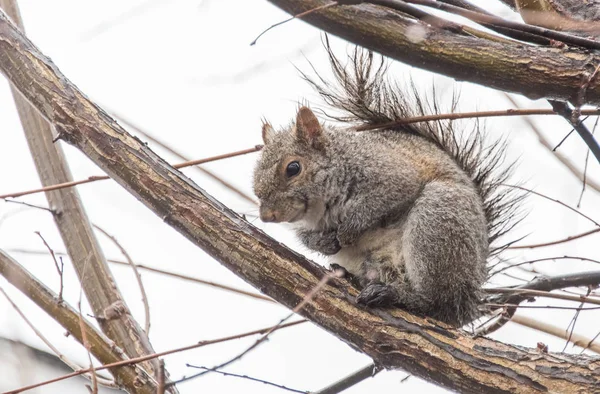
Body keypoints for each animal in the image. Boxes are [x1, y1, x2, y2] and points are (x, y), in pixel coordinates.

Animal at [251, 47, 516, 326]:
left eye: (293, 168)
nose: (267, 216)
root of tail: (466, 302)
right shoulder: (305, 225)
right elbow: (305, 237)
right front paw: (323, 243)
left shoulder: (393, 174)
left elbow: (382, 200)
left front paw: (348, 231)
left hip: (437, 221)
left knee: (436, 303)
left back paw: (400, 296)